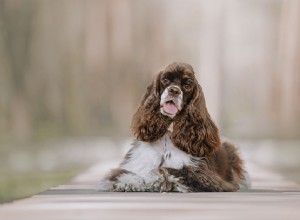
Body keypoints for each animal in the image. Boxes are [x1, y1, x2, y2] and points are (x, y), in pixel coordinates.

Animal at [98, 62, 248, 192]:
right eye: (165, 80)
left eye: (187, 85)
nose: (174, 90)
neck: (167, 135)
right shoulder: (135, 163)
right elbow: (125, 173)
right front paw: (129, 182)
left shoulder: (204, 176)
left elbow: (169, 170)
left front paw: (155, 181)